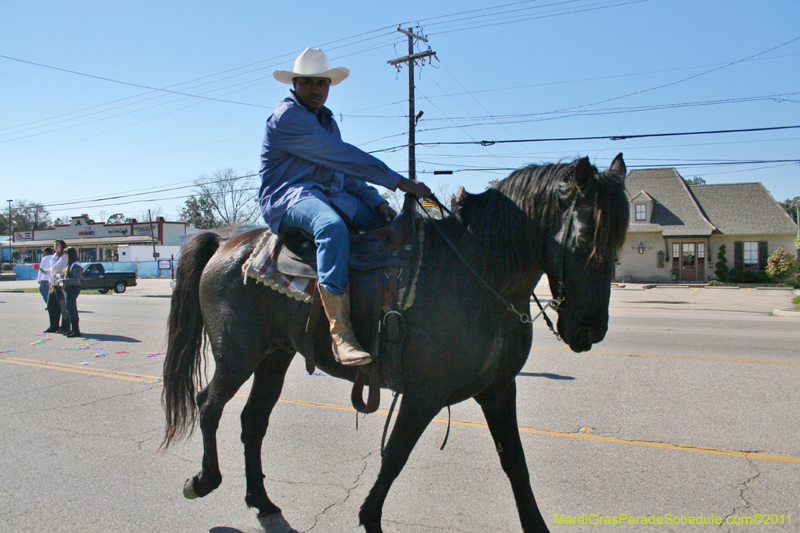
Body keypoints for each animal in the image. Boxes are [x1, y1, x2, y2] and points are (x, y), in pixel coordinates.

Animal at [161, 154, 632, 532]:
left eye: (620, 242)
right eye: (584, 238)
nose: (589, 331)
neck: (478, 271)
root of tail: (226, 243)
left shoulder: (499, 389)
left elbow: (515, 463)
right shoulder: (424, 395)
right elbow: (395, 456)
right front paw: (369, 518)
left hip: (275, 356)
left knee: (253, 421)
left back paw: (260, 500)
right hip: (237, 357)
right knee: (208, 405)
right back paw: (203, 481)